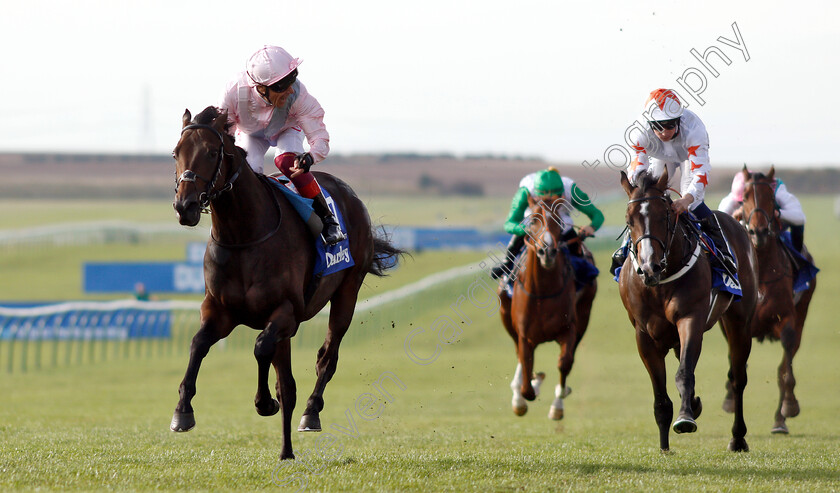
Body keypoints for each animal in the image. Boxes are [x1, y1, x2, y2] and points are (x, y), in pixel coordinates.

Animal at [169, 105, 402, 460]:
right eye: (175, 153)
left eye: (210, 152)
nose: (185, 206)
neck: (244, 237)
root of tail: (349, 194)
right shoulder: (220, 311)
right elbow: (198, 344)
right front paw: (183, 411)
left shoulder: (286, 313)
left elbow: (261, 348)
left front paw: (265, 403)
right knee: (290, 378)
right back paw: (287, 448)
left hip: (347, 291)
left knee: (327, 357)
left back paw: (310, 414)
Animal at [498, 194, 596, 418]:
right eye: (533, 220)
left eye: (558, 220)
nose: (547, 251)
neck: (543, 292)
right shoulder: (525, 335)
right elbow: (527, 380)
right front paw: (525, 393)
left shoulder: (569, 328)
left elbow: (565, 362)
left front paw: (558, 403)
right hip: (506, 314)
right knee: (519, 356)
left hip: (584, 314)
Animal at [616, 169, 760, 450]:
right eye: (629, 220)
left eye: (665, 215)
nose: (649, 268)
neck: (660, 282)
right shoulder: (644, 334)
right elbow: (660, 392)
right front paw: (664, 445)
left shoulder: (690, 318)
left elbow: (684, 373)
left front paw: (684, 418)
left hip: (740, 322)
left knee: (738, 378)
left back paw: (738, 437)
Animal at [724, 167, 816, 432]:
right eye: (744, 198)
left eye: (770, 199)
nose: (759, 232)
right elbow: (735, 361)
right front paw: (730, 399)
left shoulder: (786, 318)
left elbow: (785, 366)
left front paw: (788, 408)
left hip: (803, 311)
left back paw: (781, 417)